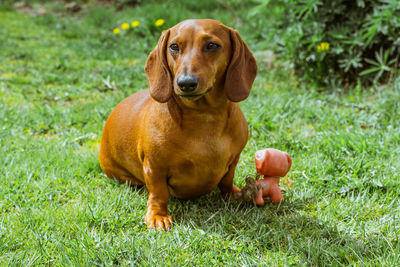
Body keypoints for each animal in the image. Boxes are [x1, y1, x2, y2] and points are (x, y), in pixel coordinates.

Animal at [98, 18, 258, 231]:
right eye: (174, 46)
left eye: (212, 45)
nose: (186, 83)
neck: (204, 116)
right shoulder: (154, 167)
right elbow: (158, 193)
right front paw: (158, 216)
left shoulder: (234, 160)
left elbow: (226, 180)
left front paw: (233, 195)